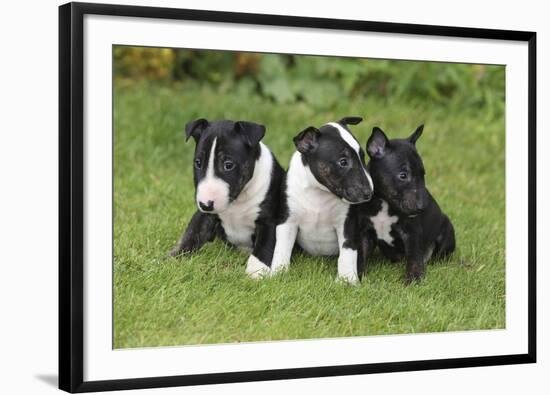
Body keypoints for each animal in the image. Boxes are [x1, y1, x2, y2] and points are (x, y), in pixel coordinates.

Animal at [169, 119, 284, 280]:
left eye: (228, 165)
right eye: (198, 163)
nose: (206, 204)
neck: (237, 200)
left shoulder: (269, 220)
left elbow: (264, 246)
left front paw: (256, 272)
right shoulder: (204, 216)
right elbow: (190, 235)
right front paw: (170, 259)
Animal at [270, 117, 376, 284]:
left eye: (363, 156)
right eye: (343, 162)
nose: (369, 193)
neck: (319, 192)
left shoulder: (347, 224)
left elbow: (347, 252)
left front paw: (347, 280)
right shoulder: (287, 220)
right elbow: (282, 248)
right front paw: (277, 274)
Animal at [362, 125, 458, 284]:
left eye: (423, 174)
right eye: (403, 175)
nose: (423, 207)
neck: (385, 203)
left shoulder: (412, 234)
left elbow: (414, 258)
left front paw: (414, 279)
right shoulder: (366, 233)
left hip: (446, 229)